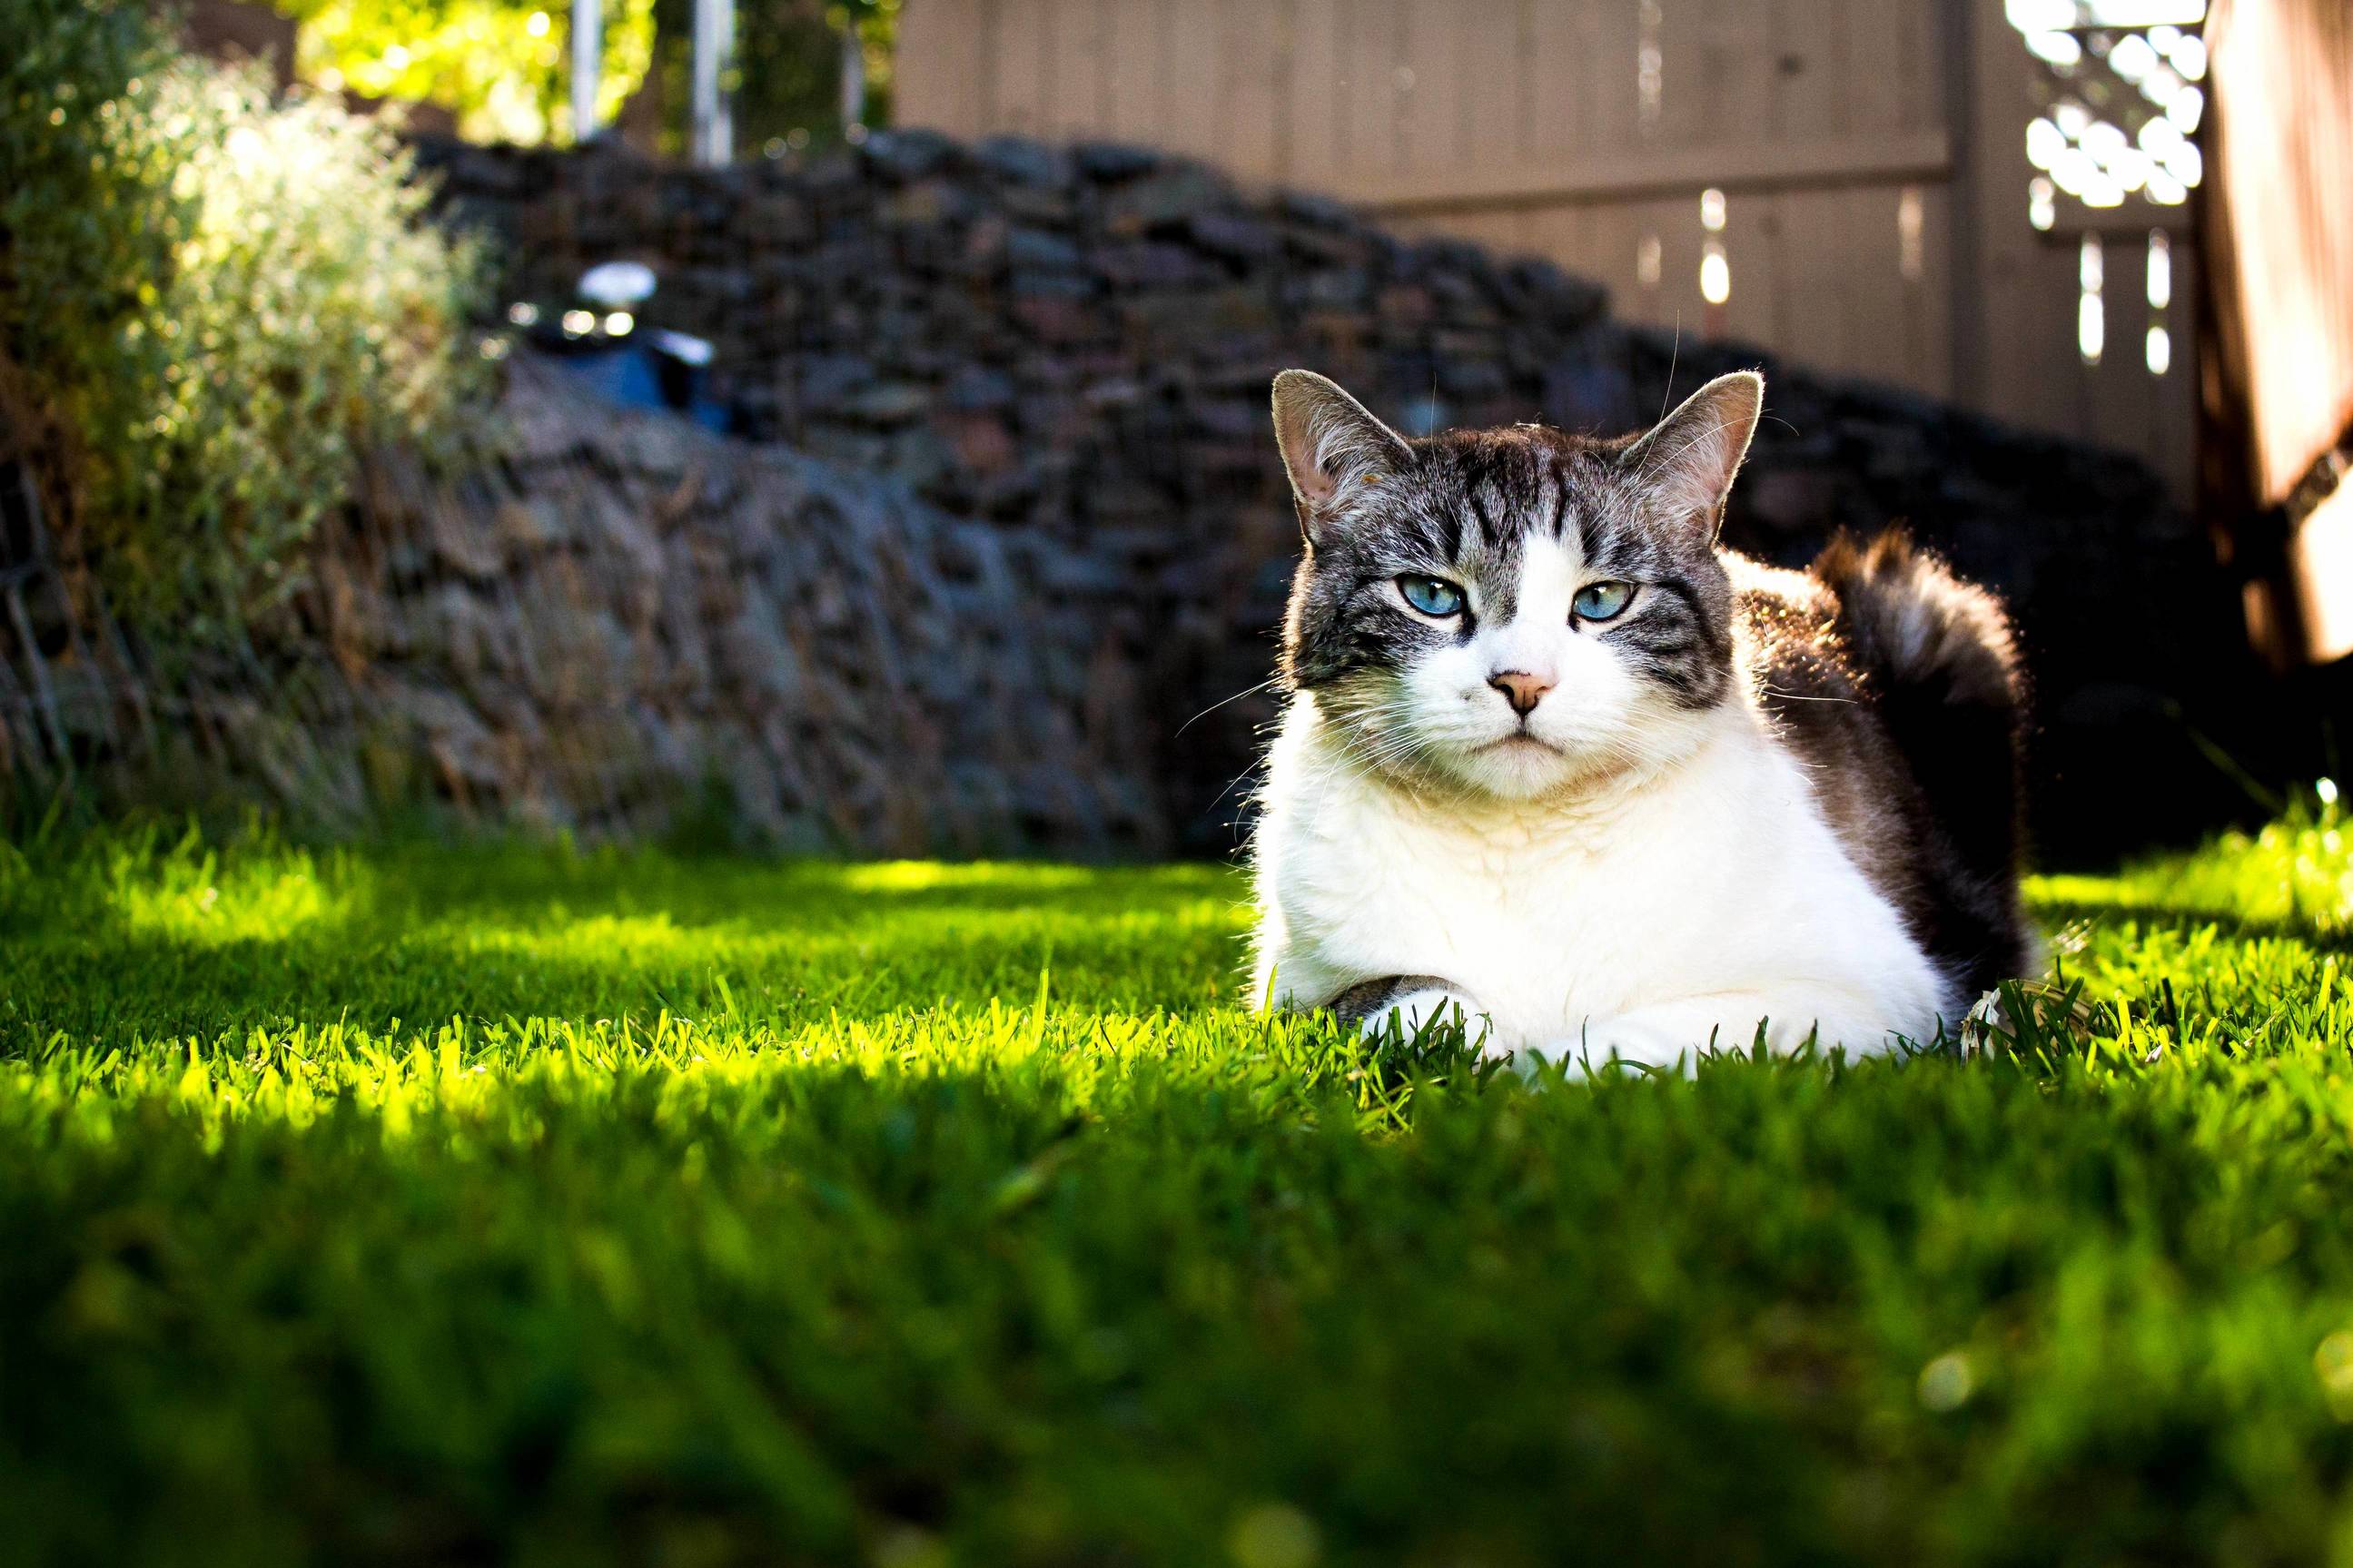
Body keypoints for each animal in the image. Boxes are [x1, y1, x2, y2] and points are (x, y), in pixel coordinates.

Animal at [1251, 371, 2042, 1067]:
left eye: (1602, 600)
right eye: (1430, 595)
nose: (1522, 681)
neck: (1522, 848)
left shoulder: (1873, 989)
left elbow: (1646, 1041)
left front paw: (1534, 1078)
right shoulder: (1288, 986)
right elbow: (1405, 1000)